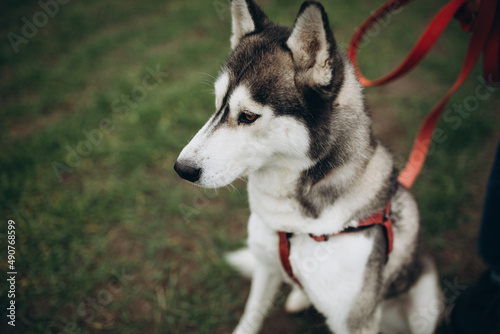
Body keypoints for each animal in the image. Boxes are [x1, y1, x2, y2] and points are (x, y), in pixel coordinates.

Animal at [174, 1, 444, 332]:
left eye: (248, 116)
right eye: (217, 105)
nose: (182, 169)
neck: (292, 225)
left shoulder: (354, 320)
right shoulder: (266, 266)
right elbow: (251, 315)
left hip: (425, 303)